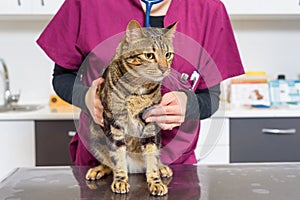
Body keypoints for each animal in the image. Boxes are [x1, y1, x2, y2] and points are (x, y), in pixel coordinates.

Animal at [84, 19, 177, 195]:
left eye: (168, 55)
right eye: (149, 55)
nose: (164, 68)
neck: (138, 90)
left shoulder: (150, 122)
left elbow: (151, 155)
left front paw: (155, 182)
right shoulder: (114, 123)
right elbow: (118, 156)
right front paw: (120, 181)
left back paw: (161, 168)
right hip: (94, 138)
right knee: (109, 162)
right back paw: (98, 170)